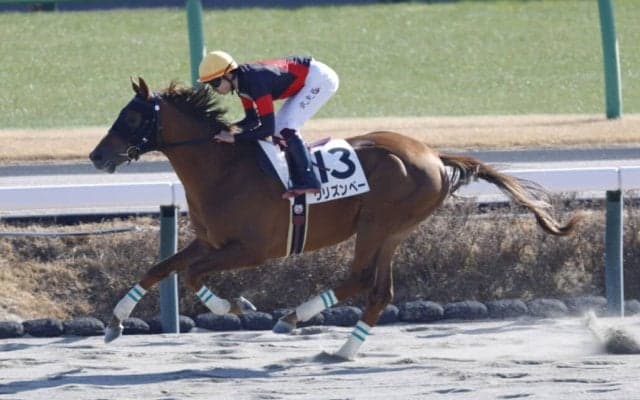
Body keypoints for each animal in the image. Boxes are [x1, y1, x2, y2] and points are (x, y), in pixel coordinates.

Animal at [90, 77, 582, 360]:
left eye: (131, 116)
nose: (96, 156)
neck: (223, 167)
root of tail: (435, 155)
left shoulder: (252, 249)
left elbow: (191, 277)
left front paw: (236, 306)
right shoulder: (210, 241)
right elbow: (160, 268)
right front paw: (115, 322)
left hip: (378, 224)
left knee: (360, 277)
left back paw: (294, 316)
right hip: (393, 230)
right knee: (379, 290)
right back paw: (344, 348)